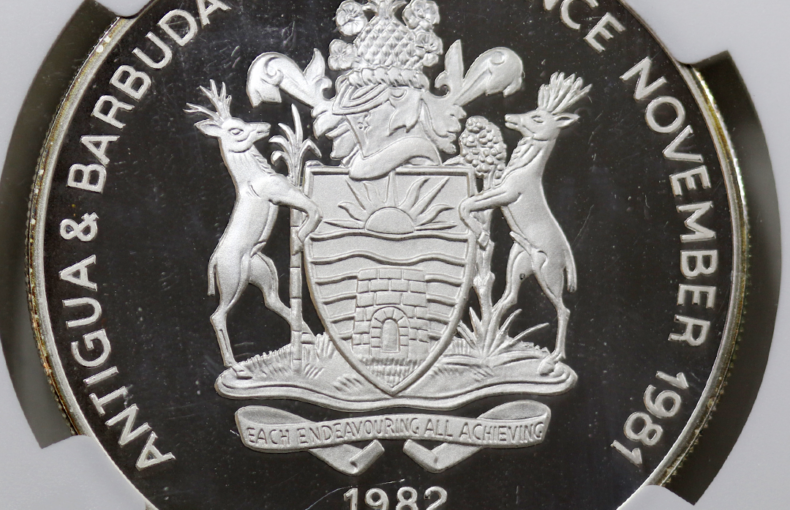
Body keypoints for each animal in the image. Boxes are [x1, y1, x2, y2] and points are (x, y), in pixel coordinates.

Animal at [186, 81, 323, 377]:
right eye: (236, 129)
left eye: (241, 120)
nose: (263, 126)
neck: (255, 175)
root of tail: (215, 260)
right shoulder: (280, 194)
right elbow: (313, 207)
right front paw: (301, 235)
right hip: (232, 280)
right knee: (218, 315)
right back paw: (237, 368)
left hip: (263, 271)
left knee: (272, 301)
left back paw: (308, 338)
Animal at [459, 73, 590, 376]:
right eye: (532, 111)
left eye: (538, 118)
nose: (510, 116)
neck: (523, 169)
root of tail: (566, 256)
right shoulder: (498, 189)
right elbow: (471, 200)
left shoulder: (507, 194)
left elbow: (468, 205)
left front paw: (480, 234)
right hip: (518, 264)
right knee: (507, 300)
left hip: (548, 274)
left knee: (563, 309)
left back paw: (550, 360)